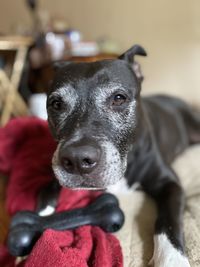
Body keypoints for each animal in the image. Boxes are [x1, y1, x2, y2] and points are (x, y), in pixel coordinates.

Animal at [44, 45, 200, 266]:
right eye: (56, 104)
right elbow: (46, 194)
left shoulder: (170, 184)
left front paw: (171, 259)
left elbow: (168, 221)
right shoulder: (55, 168)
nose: (77, 160)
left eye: (118, 98)